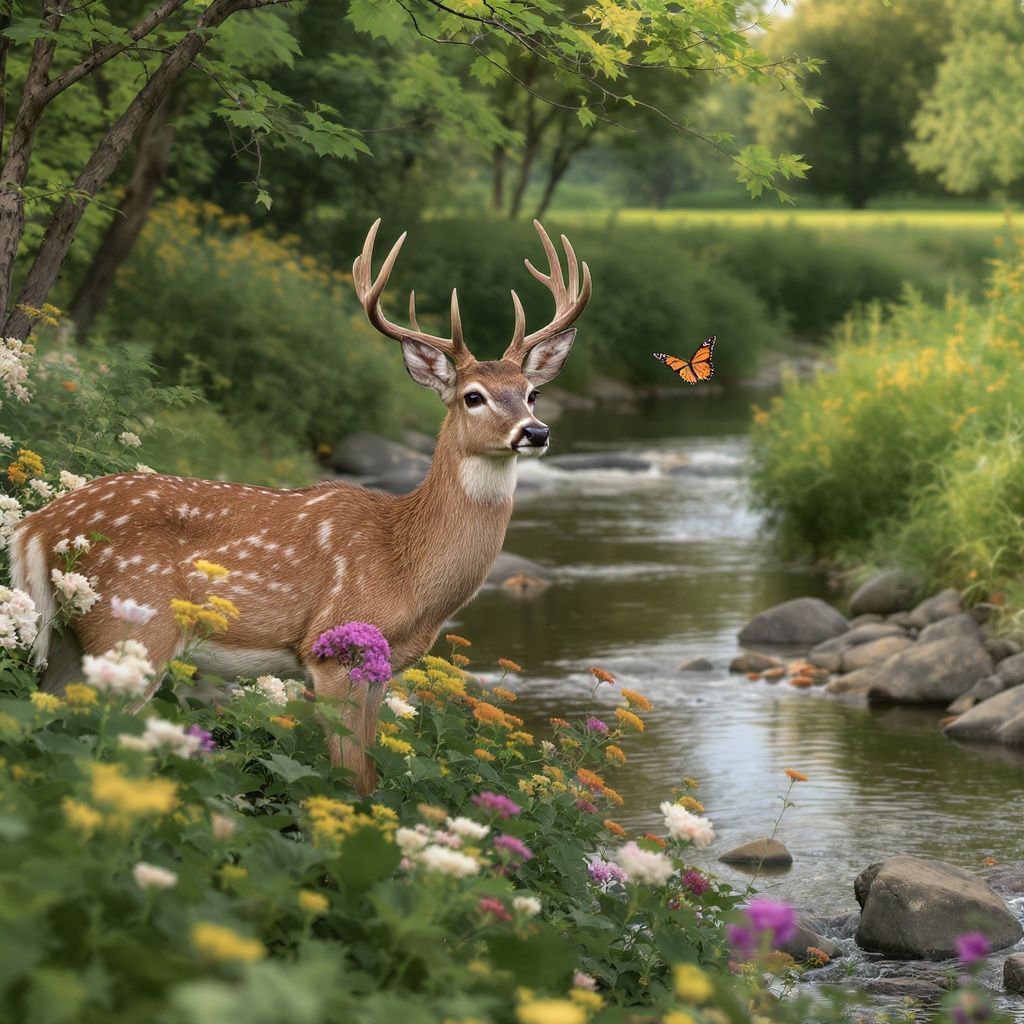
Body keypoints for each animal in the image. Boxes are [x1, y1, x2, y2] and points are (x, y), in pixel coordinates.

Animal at [10, 219, 591, 793]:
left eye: (532, 392)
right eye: (473, 396)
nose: (536, 432)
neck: (407, 565)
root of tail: (33, 528)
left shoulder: (381, 669)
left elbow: (370, 775)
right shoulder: (332, 649)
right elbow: (351, 778)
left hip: (70, 640)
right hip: (133, 627)